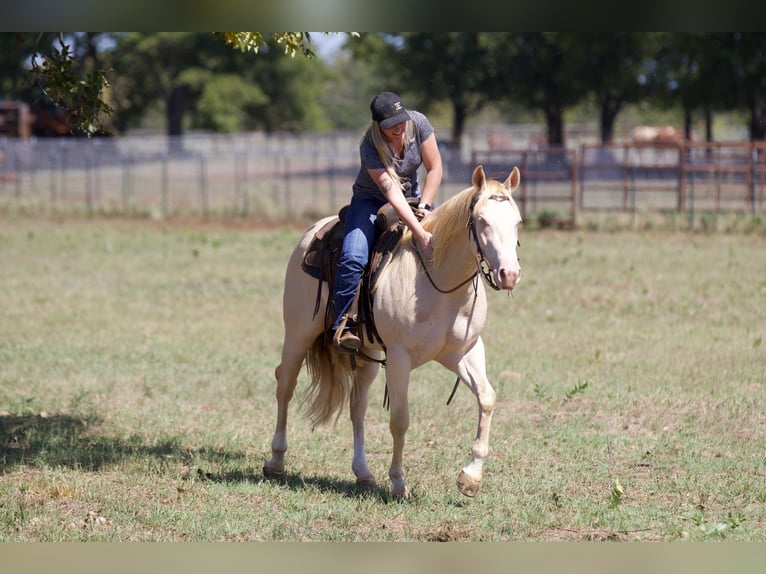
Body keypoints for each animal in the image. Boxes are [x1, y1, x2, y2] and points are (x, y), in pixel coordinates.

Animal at [262, 165, 520, 500]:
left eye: (517, 222)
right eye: (483, 221)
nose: (509, 274)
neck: (439, 280)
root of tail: (314, 231)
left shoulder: (464, 352)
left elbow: (487, 398)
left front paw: (470, 478)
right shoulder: (400, 357)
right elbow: (400, 418)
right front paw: (398, 482)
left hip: (367, 353)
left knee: (356, 405)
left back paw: (363, 473)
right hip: (298, 334)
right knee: (285, 385)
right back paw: (276, 461)